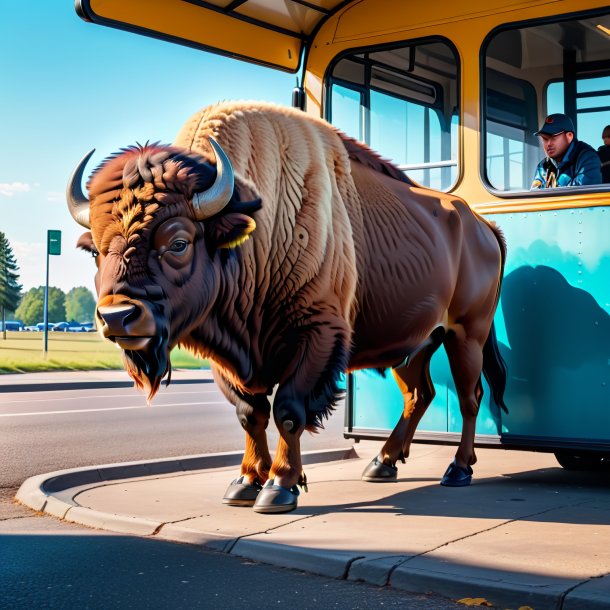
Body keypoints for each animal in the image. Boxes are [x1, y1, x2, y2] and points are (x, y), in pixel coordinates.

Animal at [65, 102, 504, 510]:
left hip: (467, 334)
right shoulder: (230, 359)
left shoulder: (317, 337)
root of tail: (482, 226)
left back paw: (457, 469)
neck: (253, 235)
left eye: (178, 242)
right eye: (95, 252)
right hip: (415, 344)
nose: (117, 317)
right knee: (419, 395)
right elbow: (251, 414)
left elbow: (288, 411)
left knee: (470, 397)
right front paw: (244, 483)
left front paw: (279, 487)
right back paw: (382, 463)